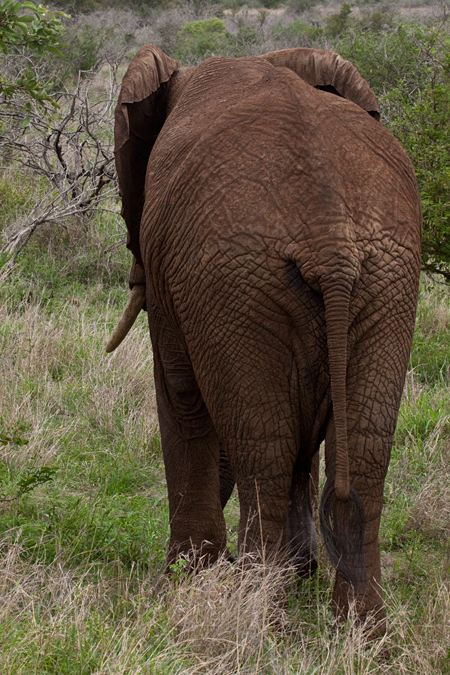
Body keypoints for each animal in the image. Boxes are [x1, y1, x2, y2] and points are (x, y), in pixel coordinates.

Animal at [105, 46, 422, 632]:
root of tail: (330, 239)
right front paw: (296, 576)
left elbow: (181, 394)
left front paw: (185, 580)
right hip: (384, 273)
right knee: (364, 450)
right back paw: (363, 634)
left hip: (234, 278)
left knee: (264, 449)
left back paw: (258, 619)